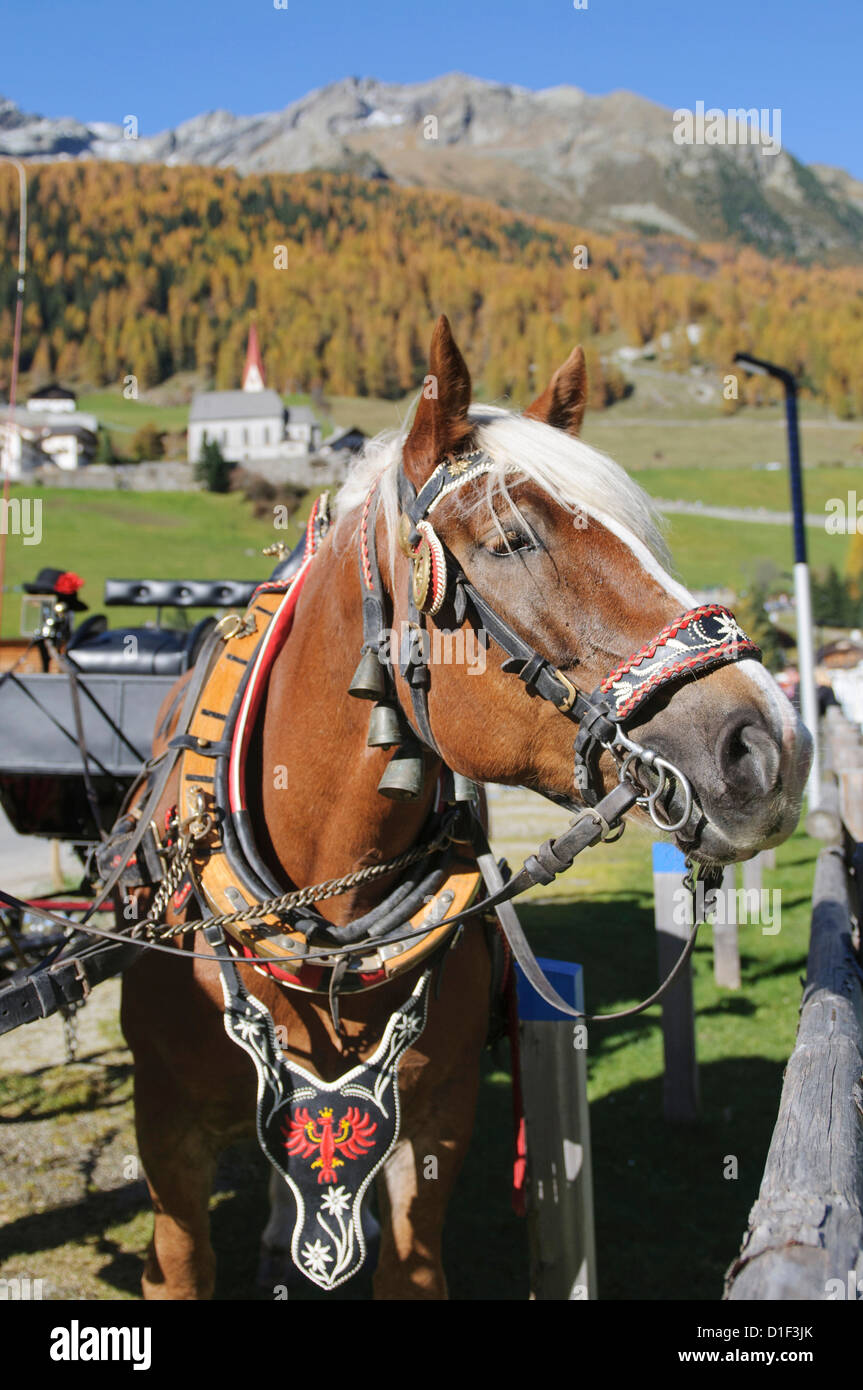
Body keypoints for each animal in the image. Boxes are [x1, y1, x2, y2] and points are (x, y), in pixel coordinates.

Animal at [120, 316, 811, 1300]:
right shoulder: (167, 1143)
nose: (770, 746)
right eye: (510, 538)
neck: (322, 927)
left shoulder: (434, 1126)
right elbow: (181, 1259)